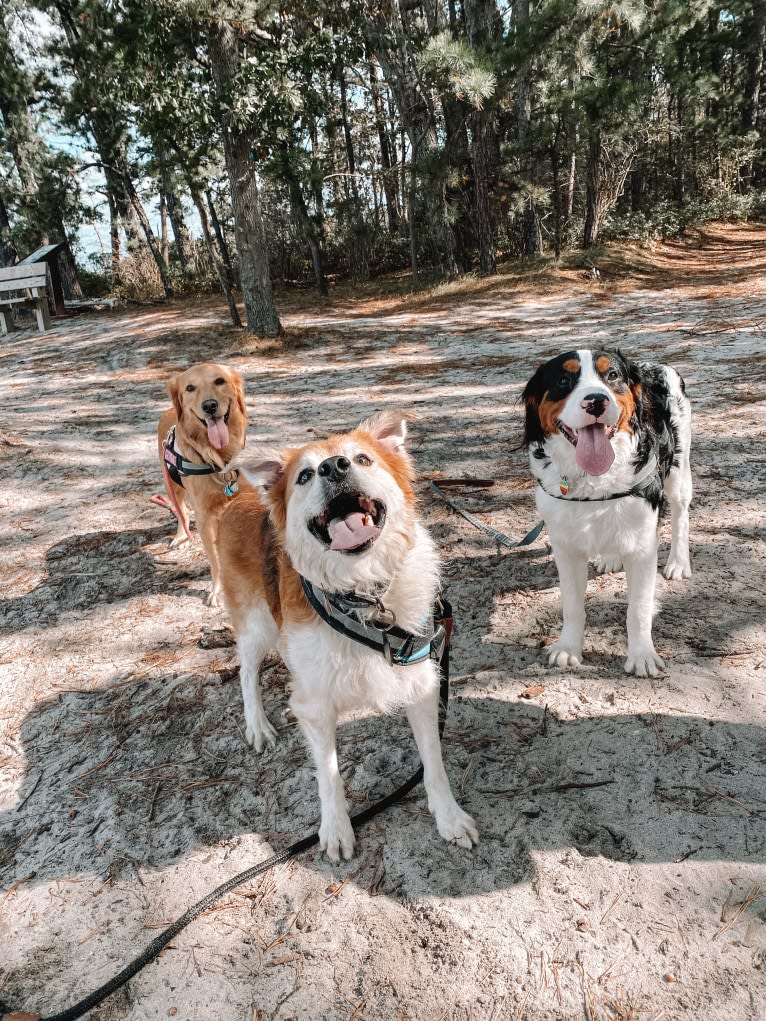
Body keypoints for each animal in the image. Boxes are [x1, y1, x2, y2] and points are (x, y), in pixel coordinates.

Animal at [156, 361, 249, 604]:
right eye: (190, 388)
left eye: (219, 380)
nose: (209, 406)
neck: (218, 459)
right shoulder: (205, 517)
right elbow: (215, 559)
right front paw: (217, 590)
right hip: (172, 485)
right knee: (181, 512)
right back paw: (181, 536)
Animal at [217, 410, 480, 857]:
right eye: (305, 476)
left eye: (361, 459)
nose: (333, 467)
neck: (365, 594)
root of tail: (241, 494)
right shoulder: (317, 704)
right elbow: (329, 772)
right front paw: (336, 828)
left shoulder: (420, 683)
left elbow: (433, 761)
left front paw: (448, 817)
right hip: (257, 621)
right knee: (247, 671)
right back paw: (258, 724)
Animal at [527, 349, 694, 677]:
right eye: (564, 379)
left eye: (613, 376)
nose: (596, 401)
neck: (594, 482)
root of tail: (653, 363)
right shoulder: (566, 548)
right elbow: (572, 605)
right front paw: (568, 648)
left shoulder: (643, 546)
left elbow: (638, 609)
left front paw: (642, 655)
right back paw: (610, 557)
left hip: (678, 472)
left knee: (681, 514)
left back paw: (679, 563)